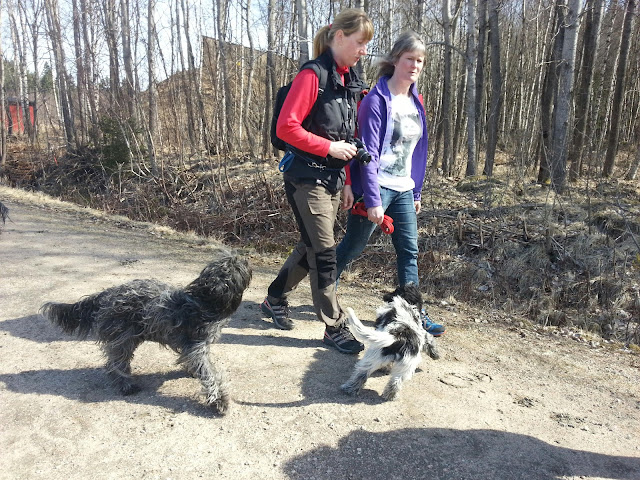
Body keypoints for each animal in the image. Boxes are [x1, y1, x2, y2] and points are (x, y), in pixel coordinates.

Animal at [41, 252, 251, 414]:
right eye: (236, 266)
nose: (246, 258)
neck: (204, 301)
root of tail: (104, 295)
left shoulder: (192, 349)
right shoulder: (197, 349)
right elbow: (210, 375)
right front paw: (220, 401)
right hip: (122, 340)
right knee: (115, 364)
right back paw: (126, 385)